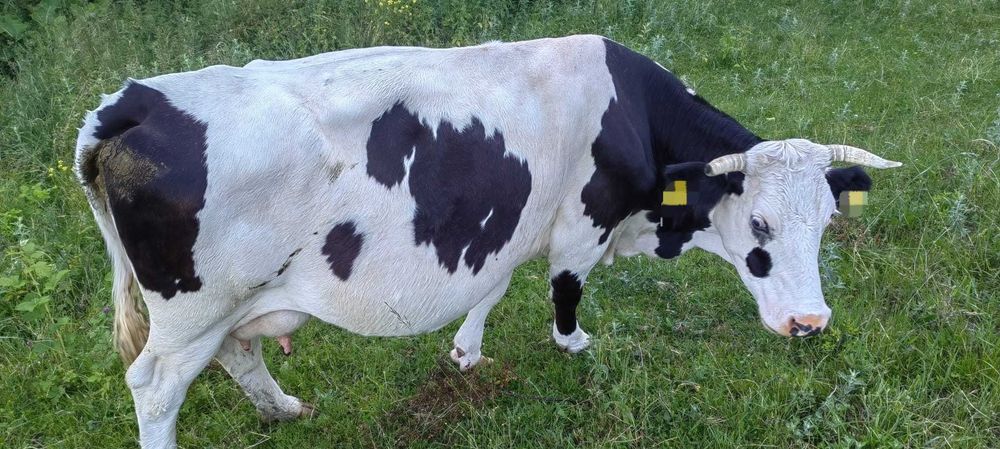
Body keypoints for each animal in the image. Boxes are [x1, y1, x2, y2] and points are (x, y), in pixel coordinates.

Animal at [74, 35, 901, 448]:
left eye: (827, 223)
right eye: (760, 226)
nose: (810, 322)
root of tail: (134, 102)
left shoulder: (513, 225)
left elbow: (493, 284)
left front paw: (466, 350)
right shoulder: (582, 222)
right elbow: (565, 288)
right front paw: (573, 344)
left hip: (229, 303)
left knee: (238, 352)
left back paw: (283, 408)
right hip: (192, 307)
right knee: (156, 386)